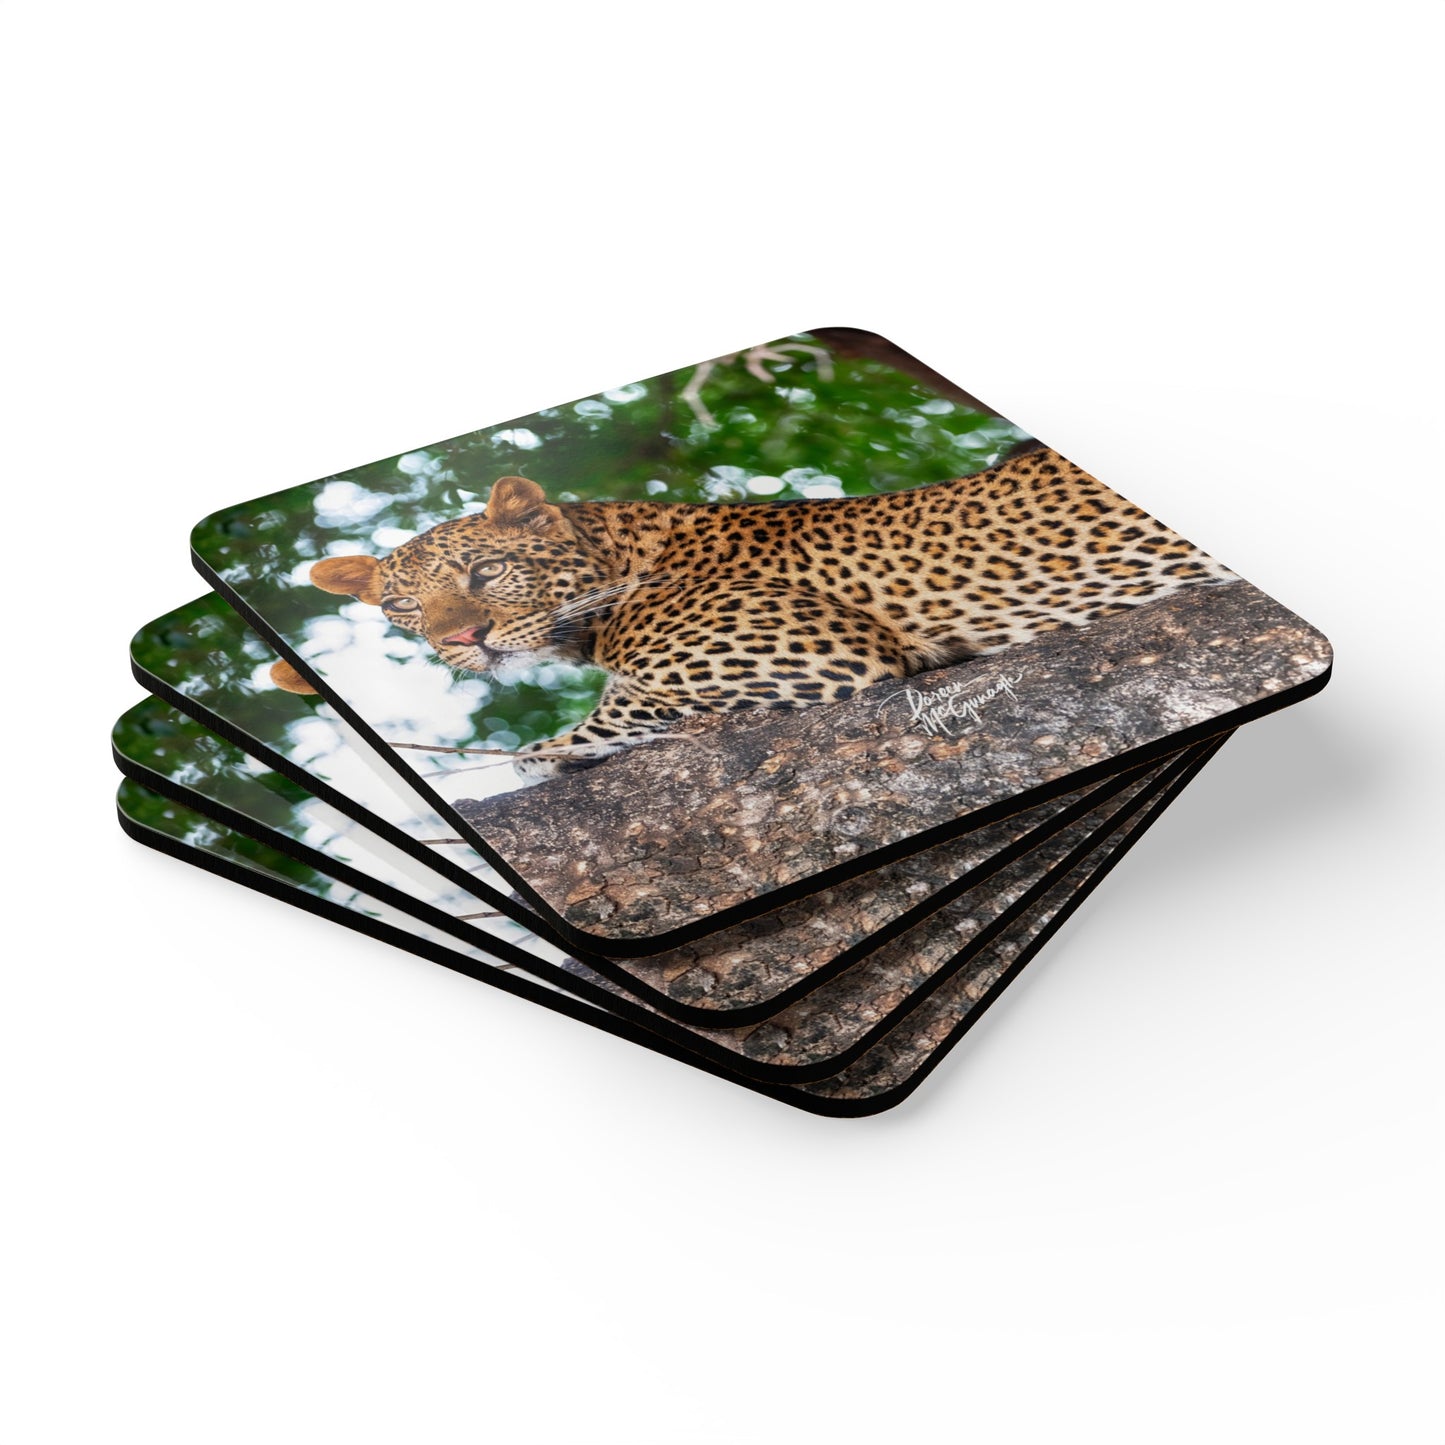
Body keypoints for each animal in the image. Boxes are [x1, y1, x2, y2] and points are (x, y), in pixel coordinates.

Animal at [278, 445, 1234, 778]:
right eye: (405, 610)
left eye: (483, 572)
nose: (463, 641)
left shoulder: (813, 653)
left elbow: (609, 712)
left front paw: (537, 753)